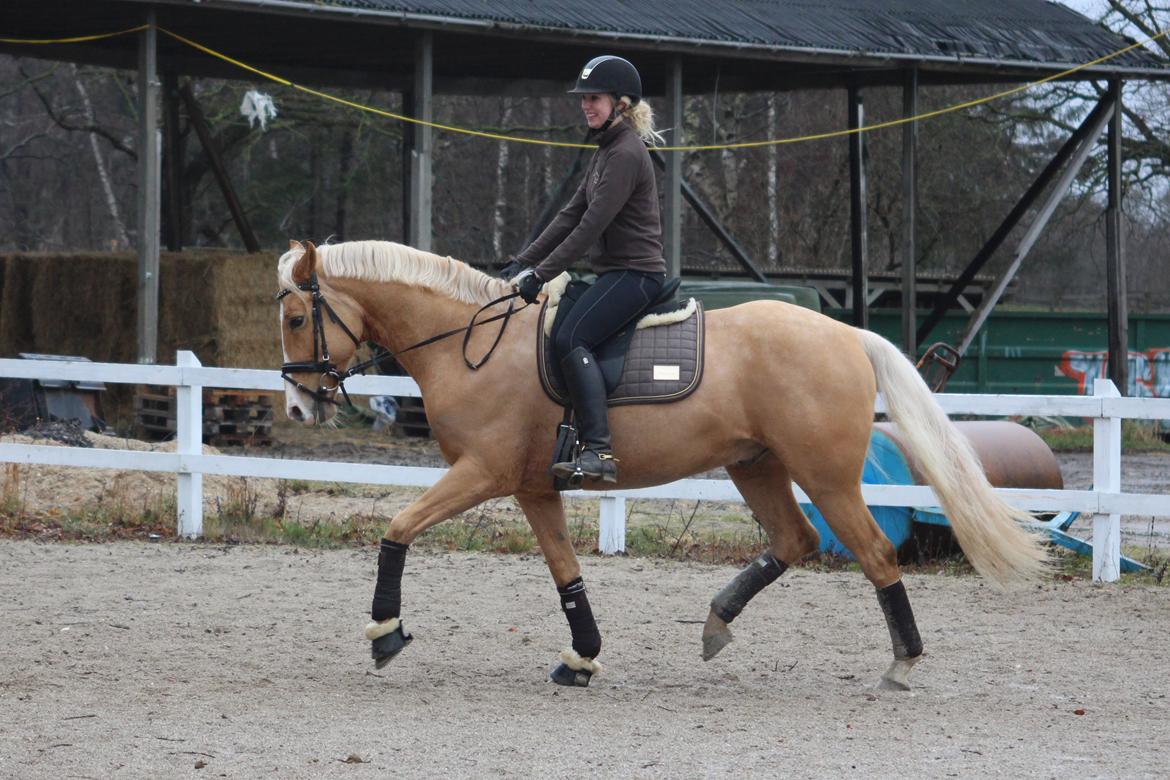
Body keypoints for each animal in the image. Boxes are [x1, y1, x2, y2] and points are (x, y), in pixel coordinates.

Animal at [278, 238, 1048, 687]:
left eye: (294, 318)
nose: (299, 406)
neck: (471, 343)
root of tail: (847, 334)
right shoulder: (531, 486)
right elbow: (565, 572)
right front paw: (581, 656)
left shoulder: (483, 473)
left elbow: (399, 527)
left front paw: (385, 633)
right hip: (756, 465)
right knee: (794, 539)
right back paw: (716, 623)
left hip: (825, 476)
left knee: (876, 554)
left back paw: (902, 661)